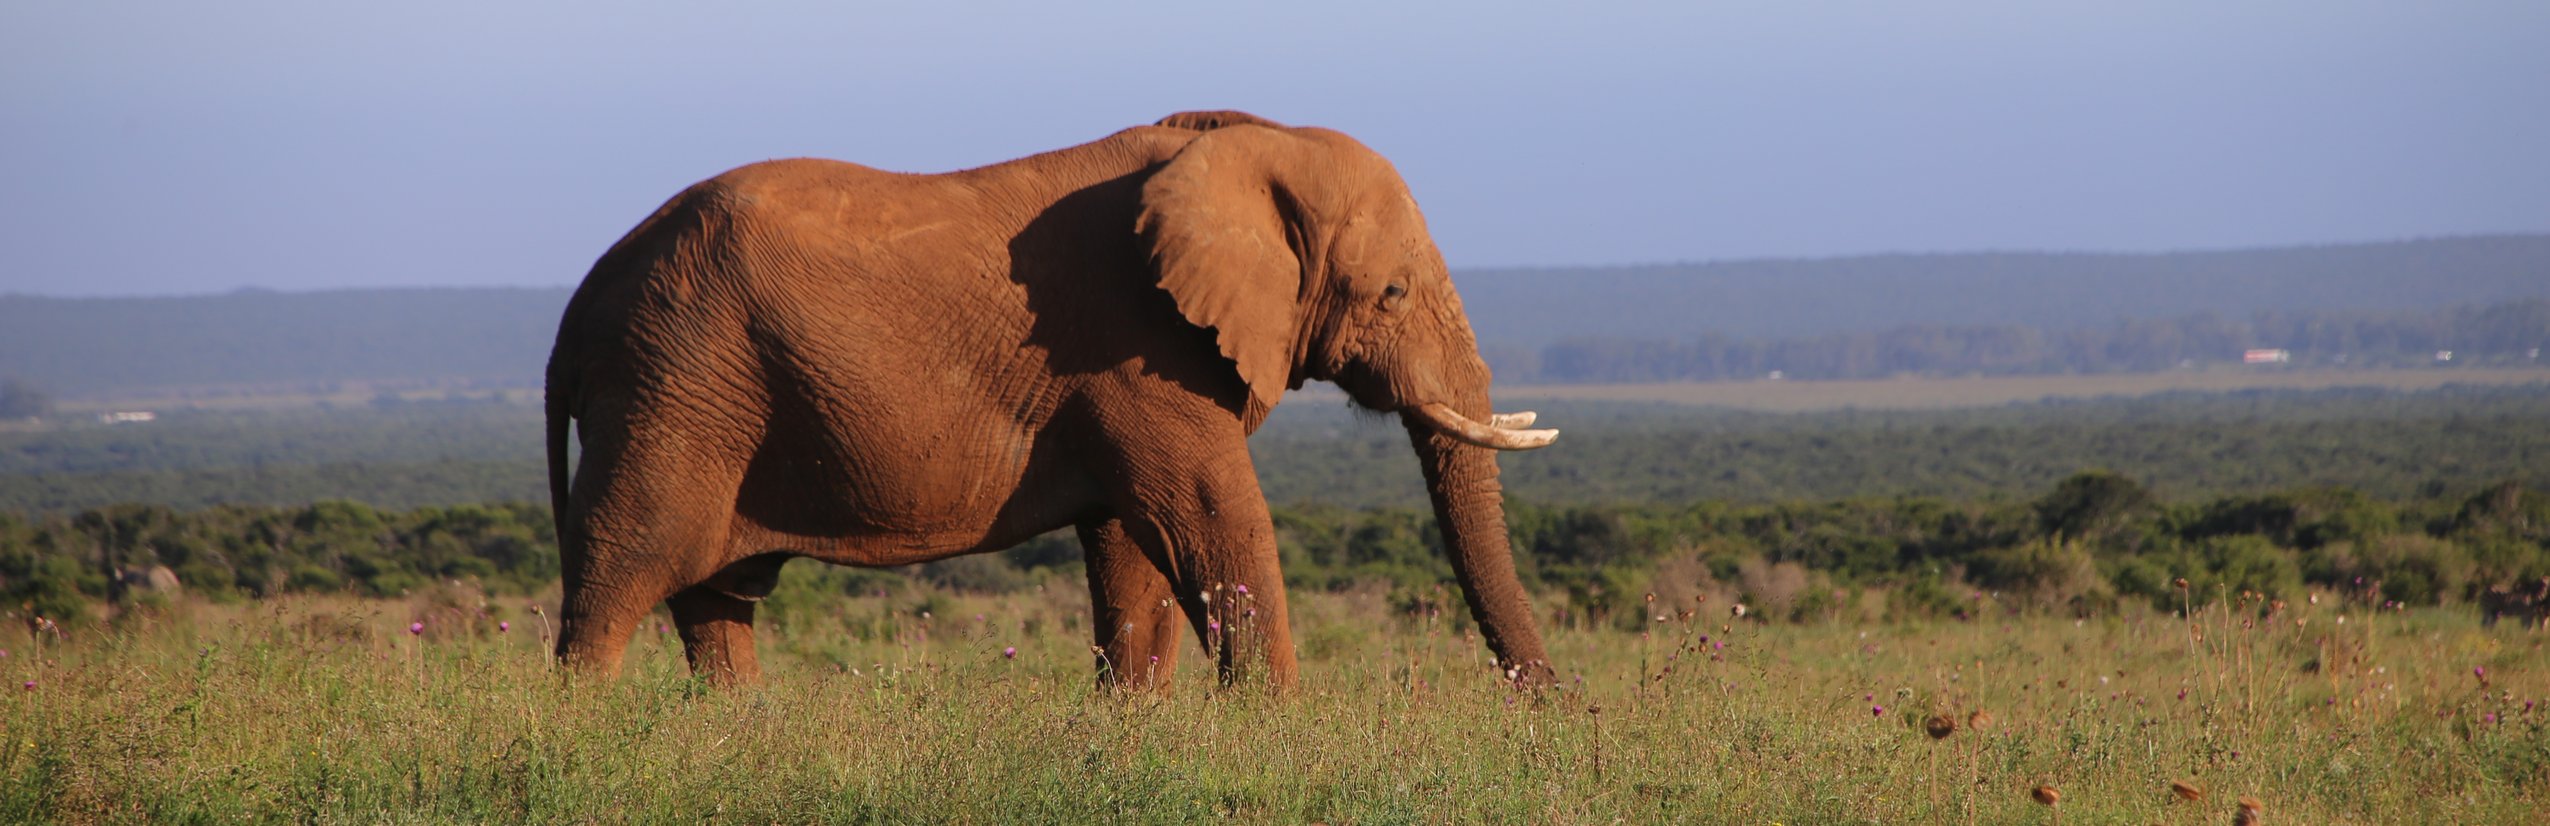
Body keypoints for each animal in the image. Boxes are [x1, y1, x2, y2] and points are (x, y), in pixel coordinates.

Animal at [548, 111, 1560, 688]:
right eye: (1391, 294)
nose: (1555, 709)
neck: (1242, 145)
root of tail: (583, 295)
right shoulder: (1136, 345)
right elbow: (1215, 519)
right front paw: (1274, 735)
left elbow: (1132, 550)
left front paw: (1135, 734)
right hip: (676, 383)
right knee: (621, 575)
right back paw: (589, 738)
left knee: (713, 599)